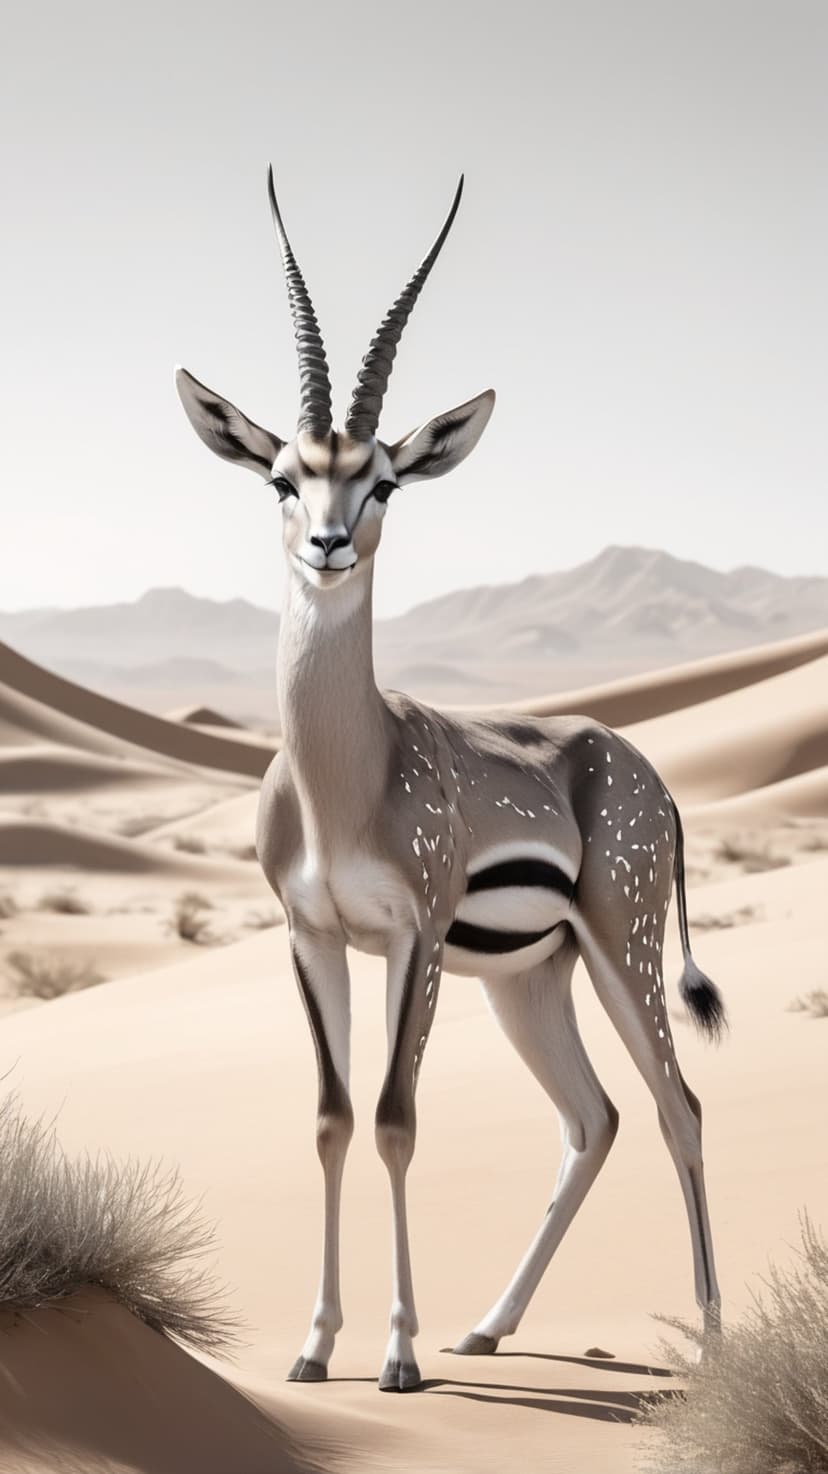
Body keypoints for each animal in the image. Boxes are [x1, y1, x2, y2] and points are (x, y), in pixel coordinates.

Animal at [176, 170, 724, 1393]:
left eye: (385, 480)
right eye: (282, 477)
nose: (329, 545)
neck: (348, 777)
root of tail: (645, 771)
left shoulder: (416, 936)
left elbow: (394, 1117)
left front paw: (397, 1356)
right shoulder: (313, 934)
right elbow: (332, 1118)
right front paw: (315, 1347)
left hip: (622, 951)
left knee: (678, 1104)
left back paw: (716, 1341)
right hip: (533, 982)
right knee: (595, 1119)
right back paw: (487, 1325)